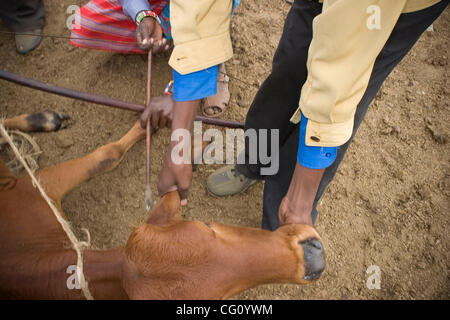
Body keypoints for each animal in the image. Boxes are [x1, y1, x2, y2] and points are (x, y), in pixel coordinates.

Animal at [0, 114, 324, 298]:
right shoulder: (34, 185)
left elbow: (107, 154)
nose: (313, 257)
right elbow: (107, 154)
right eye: (220, 299)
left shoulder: (36, 188)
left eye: (207, 225)